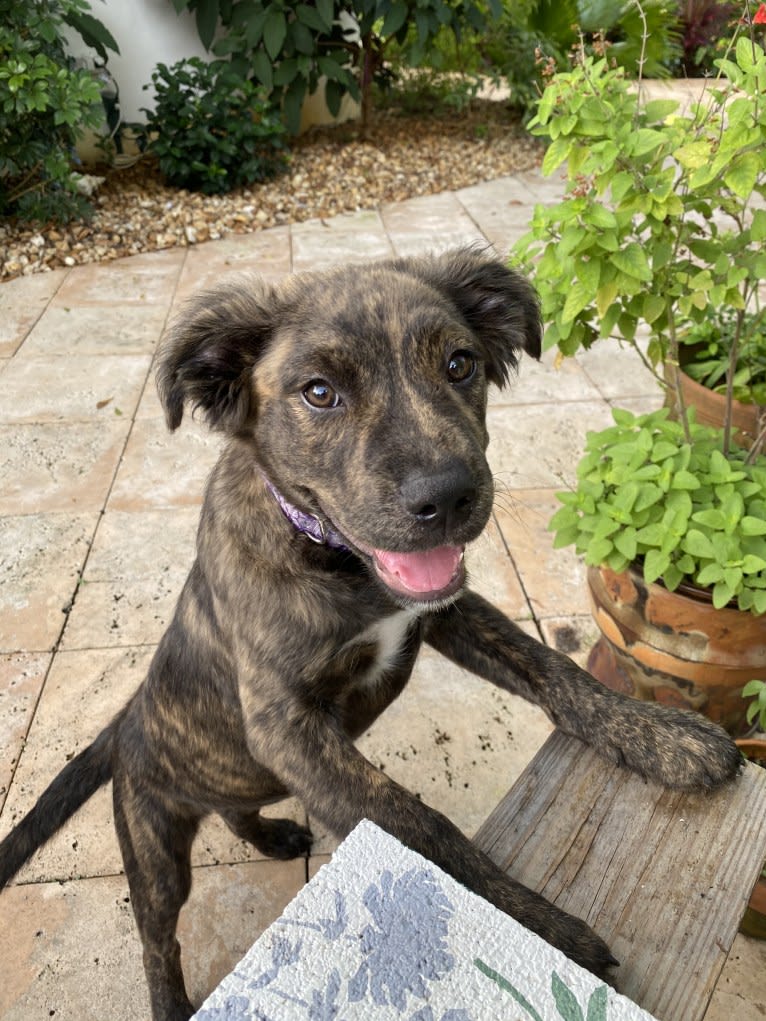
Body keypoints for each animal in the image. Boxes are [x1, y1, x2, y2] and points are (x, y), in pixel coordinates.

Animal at [0, 247, 743, 1021]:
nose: (447, 496)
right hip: (153, 844)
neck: (332, 559)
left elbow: (553, 669)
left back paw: (270, 833)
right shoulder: (286, 726)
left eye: (459, 364)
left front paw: (663, 737)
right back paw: (171, 997)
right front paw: (542, 930)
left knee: (235, 808)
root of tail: (123, 723)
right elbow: (417, 826)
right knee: (157, 937)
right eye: (319, 392)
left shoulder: (443, 611)